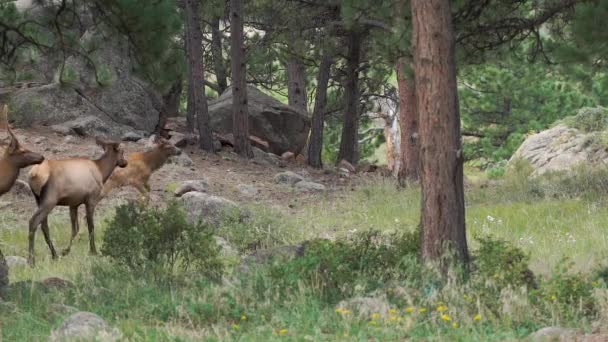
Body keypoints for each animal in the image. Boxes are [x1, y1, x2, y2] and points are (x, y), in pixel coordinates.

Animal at [26, 138, 127, 266]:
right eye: (122, 151)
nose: (125, 162)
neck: (101, 171)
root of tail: (33, 175)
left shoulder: (73, 204)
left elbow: (75, 229)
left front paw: (66, 251)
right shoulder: (91, 200)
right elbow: (91, 227)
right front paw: (93, 251)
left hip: (38, 199)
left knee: (44, 226)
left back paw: (54, 255)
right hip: (50, 200)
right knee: (33, 222)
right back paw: (31, 260)